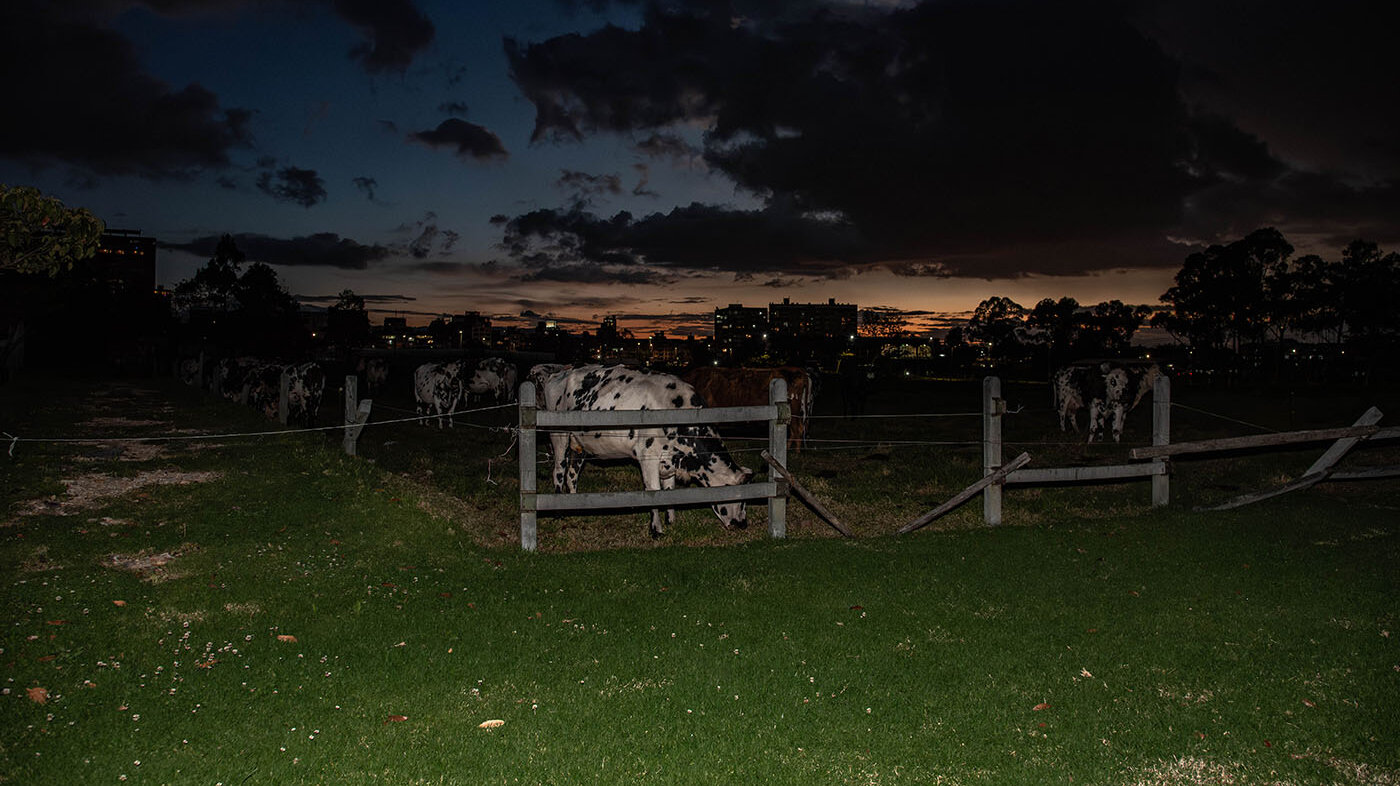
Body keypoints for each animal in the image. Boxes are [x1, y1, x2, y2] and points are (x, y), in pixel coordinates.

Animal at [540, 364, 756, 538]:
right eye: (742, 500)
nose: (743, 524)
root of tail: (558, 374)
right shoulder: (648, 457)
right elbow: (654, 491)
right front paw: (656, 530)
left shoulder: (669, 460)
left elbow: (669, 489)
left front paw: (671, 520)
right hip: (559, 436)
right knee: (559, 471)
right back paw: (558, 512)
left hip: (580, 445)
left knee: (572, 475)